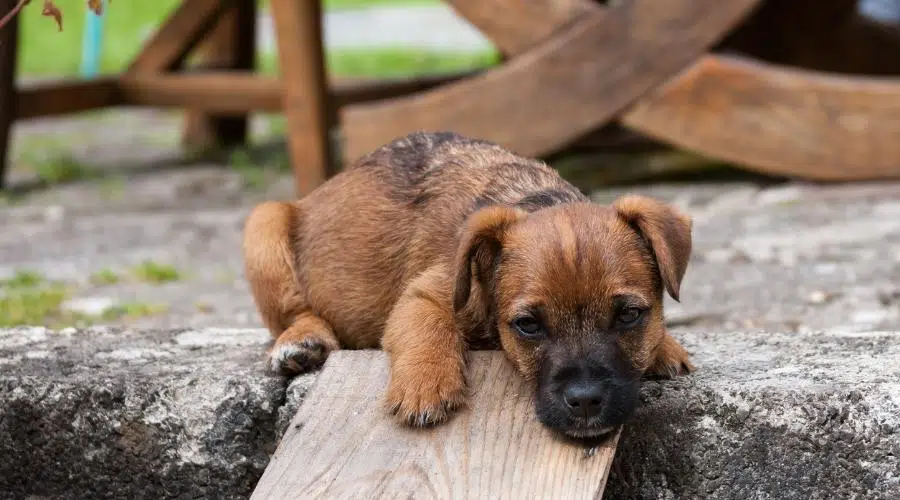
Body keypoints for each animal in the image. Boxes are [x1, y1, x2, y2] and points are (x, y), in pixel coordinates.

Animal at [241, 132, 696, 438]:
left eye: (629, 315)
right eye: (528, 325)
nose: (584, 400)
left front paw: (665, 346)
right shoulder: (423, 295)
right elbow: (427, 330)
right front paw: (425, 386)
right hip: (262, 226)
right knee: (294, 313)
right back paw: (302, 342)